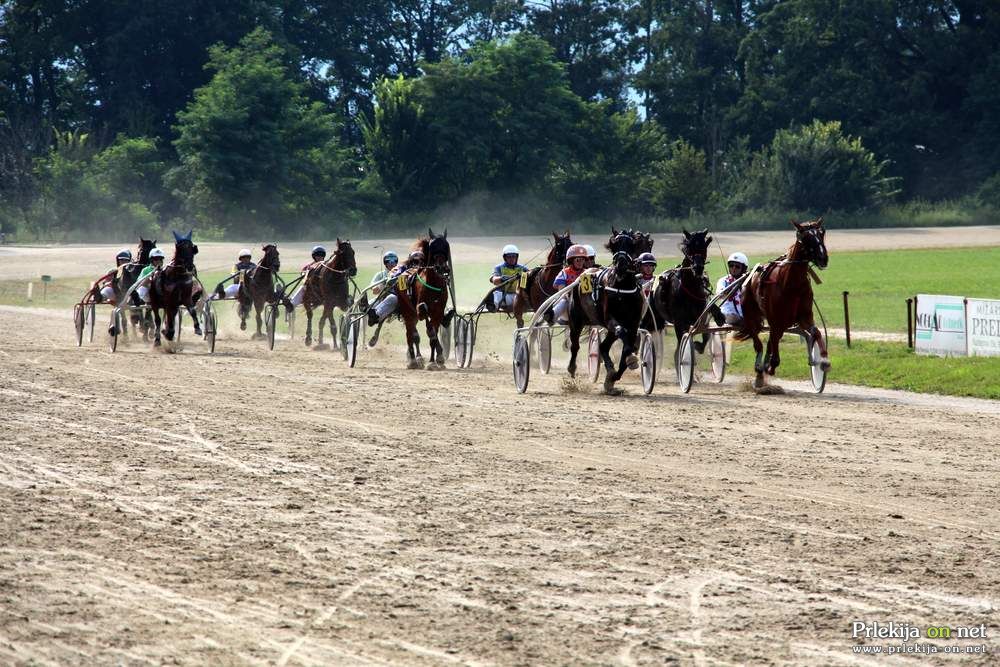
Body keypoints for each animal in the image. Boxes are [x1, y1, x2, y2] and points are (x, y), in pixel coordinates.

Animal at [568, 231, 644, 394]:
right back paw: (572, 369)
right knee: (575, 346)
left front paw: (613, 377)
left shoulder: (633, 323)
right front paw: (629, 360)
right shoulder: (610, 318)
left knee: (603, 346)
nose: (621, 265)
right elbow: (622, 333)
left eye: (632, 245)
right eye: (614, 245)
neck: (622, 286)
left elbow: (627, 349)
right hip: (576, 320)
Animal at [644, 231, 724, 360]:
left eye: (704, 247)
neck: (690, 290)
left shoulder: (700, 318)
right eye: (689, 248)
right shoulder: (679, 322)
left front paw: (698, 346)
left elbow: (706, 336)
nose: (698, 268)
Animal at [732, 217, 832, 388]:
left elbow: (816, 332)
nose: (823, 258)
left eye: (822, 233)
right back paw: (760, 372)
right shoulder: (776, 320)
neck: (792, 285)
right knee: (758, 342)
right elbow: (773, 346)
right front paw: (770, 366)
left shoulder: (804, 317)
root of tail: (749, 276)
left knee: (771, 341)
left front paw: (823, 360)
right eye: (805, 237)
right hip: (751, 314)